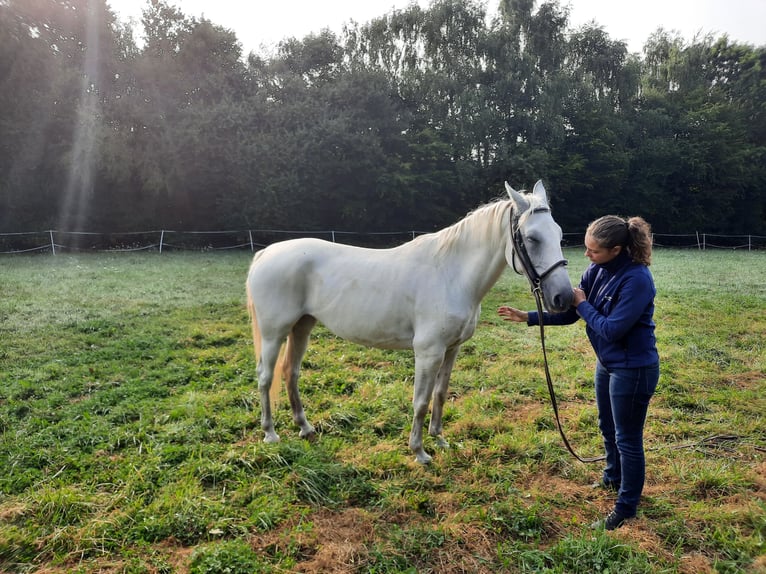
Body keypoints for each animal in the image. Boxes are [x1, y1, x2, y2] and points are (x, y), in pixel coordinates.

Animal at [249, 182, 572, 466]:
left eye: (558, 233)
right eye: (532, 238)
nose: (563, 297)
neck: (452, 275)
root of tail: (266, 253)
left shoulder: (451, 349)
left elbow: (440, 394)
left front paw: (439, 439)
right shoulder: (428, 352)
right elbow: (421, 400)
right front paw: (419, 451)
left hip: (301, 327)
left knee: (290, 373)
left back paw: (305, 428)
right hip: (274, 333)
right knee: (266, 376)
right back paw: (270, 434)